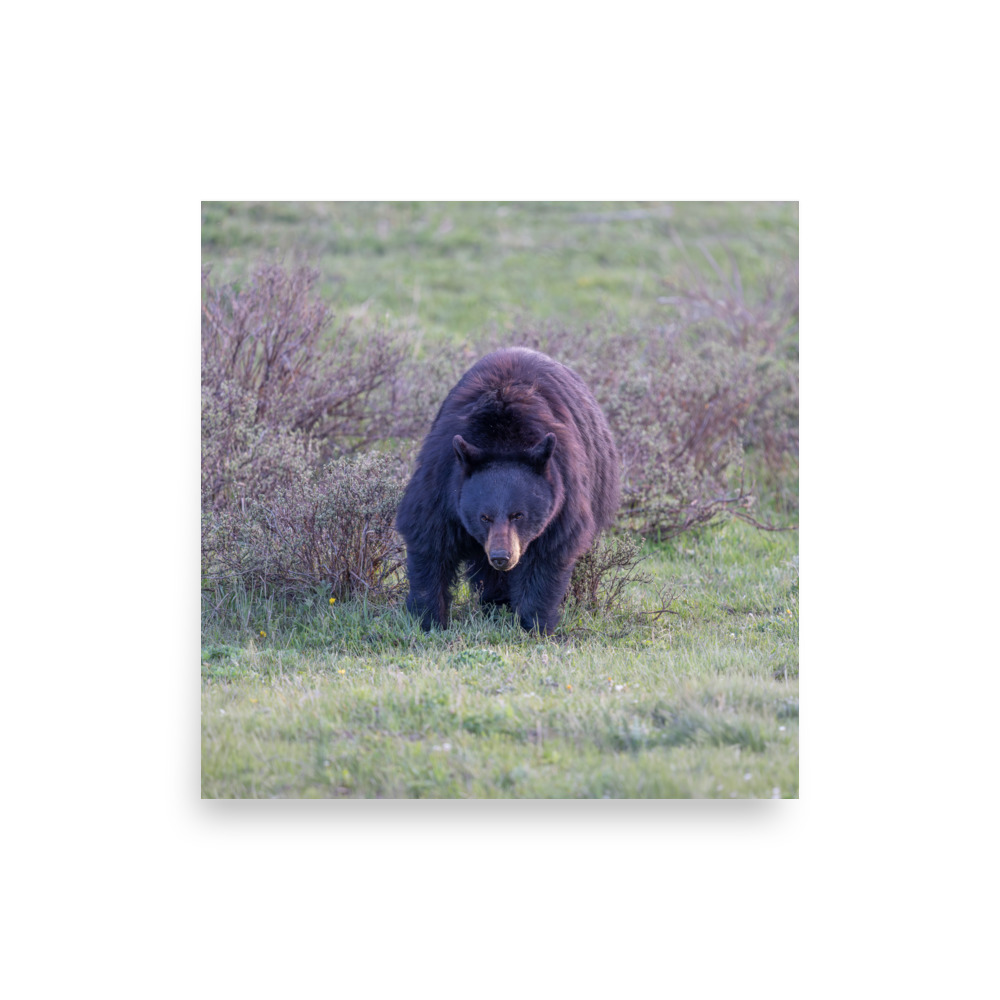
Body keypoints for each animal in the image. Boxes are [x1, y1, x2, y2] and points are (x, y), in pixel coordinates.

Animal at [395, 347, 620, 634]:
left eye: (519, 515)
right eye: (484, 517)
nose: (502, 557)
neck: (502, 438)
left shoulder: (564, 491)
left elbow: (548, 554)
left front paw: (535, 624)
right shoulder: (442, 480)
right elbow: (429, 540)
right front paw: (429, 619)